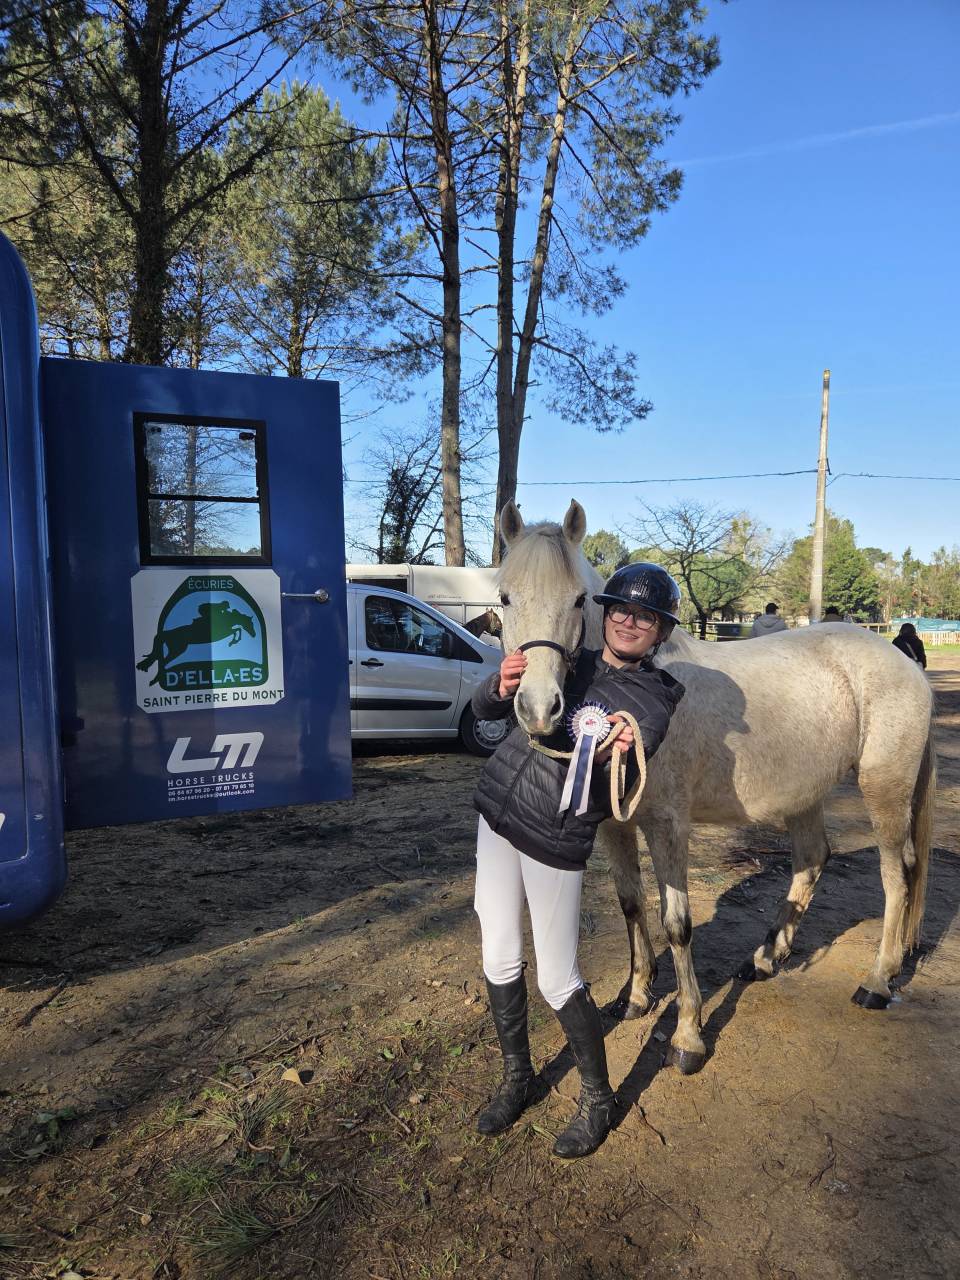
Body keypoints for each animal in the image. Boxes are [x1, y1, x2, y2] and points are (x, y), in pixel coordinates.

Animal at [496, 499, 936, 1074]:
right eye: (505, 597)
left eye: (577, 599)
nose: (537, 707)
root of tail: (909, 667)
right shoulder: (615, 825)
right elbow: (631, 902)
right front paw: (636, 996)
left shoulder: (667, 826)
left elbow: (677, 922)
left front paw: (688, 1035)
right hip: (804, 792)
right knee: (812, 859)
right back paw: (765, 959)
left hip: (885, 788)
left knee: (897, 874)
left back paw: (878, 980)